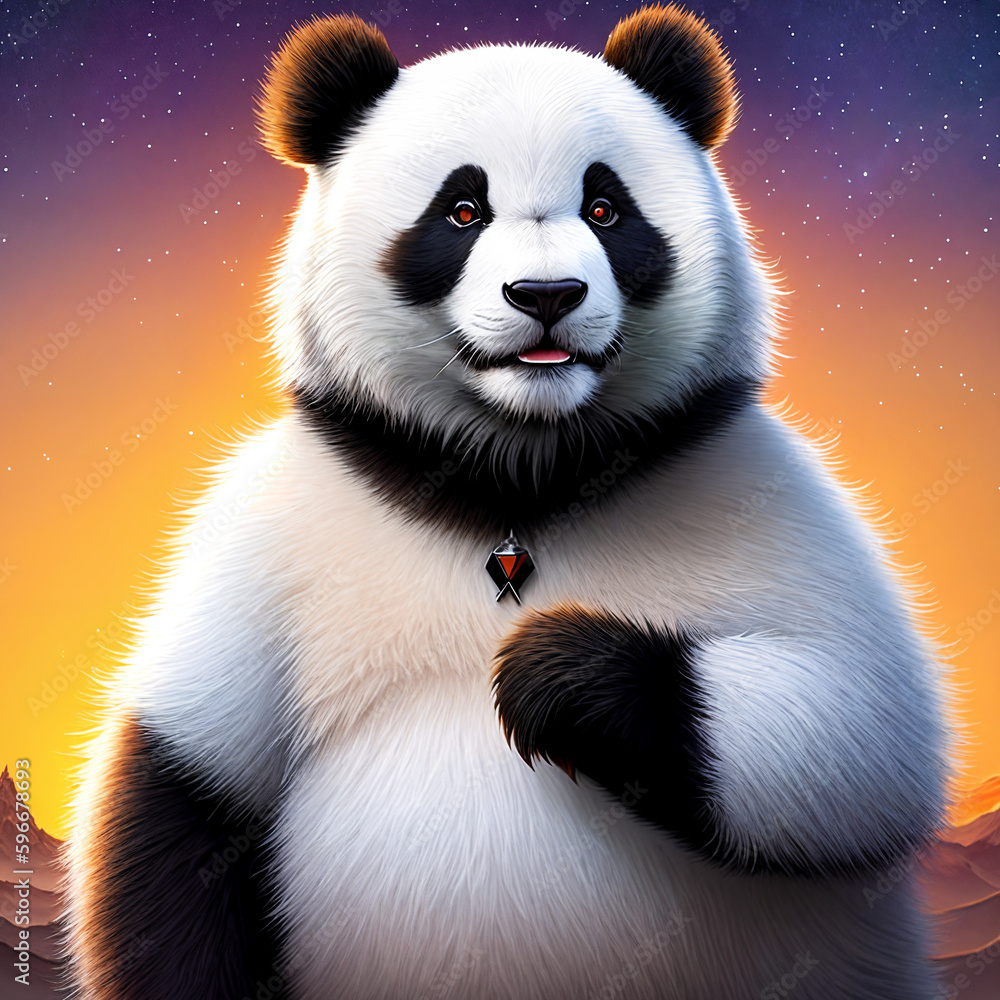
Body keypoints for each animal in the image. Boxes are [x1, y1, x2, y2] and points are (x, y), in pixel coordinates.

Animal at [65, 6, 951, 999]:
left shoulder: (757, 487)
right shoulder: (271, 532)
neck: (520, 474)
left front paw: (557, 672)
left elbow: (864, 726)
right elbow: (185, 790)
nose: (546, 295)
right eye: (462, 210)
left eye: (606, 208)